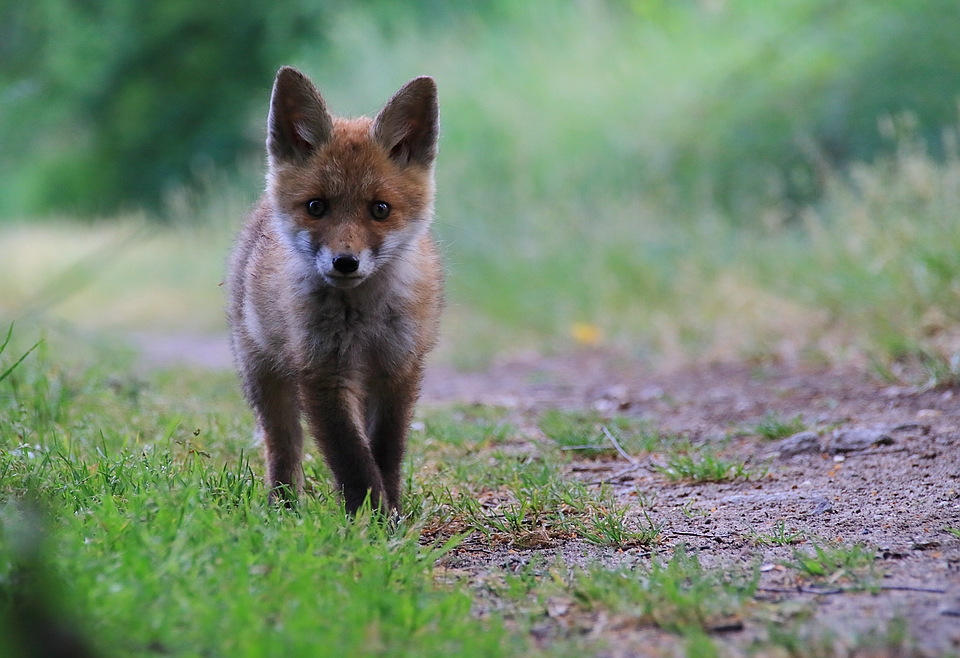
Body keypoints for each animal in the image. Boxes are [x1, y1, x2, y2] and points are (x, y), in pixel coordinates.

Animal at [229, 68, 442, 512]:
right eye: (316, 207)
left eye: (380, 209)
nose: (345, 262)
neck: (363, 318)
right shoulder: (321, 373)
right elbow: (352, 460)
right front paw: (372, 517)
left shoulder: (398, 369)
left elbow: (384, 453)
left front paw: (390, 513)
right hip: (263, 377)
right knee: (283, 445)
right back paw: (284, 507)